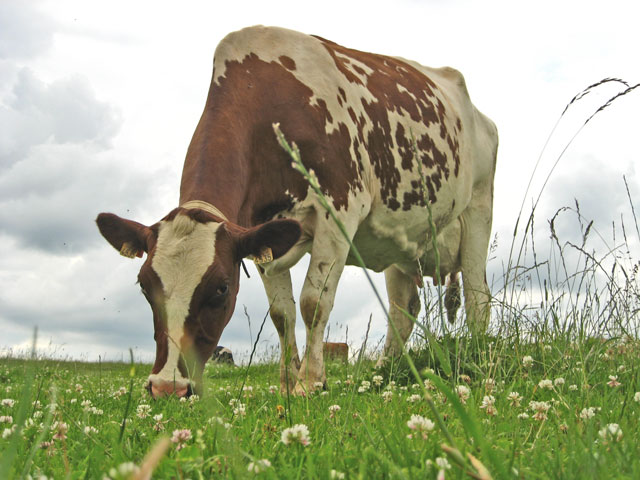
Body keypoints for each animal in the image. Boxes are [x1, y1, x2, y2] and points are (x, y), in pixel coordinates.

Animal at [96, 25, 496, 398]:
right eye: (144, 284)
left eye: (221, 288)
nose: (168, 386)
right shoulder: (260, 232)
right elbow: (281, 313)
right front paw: (288, 383)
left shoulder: (339, 210)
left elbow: (313, 303)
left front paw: (311, 381)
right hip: (402, 241)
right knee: (403, 308)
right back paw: (388, 370)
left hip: (479, 206)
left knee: (478, 296)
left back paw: (478, 361)